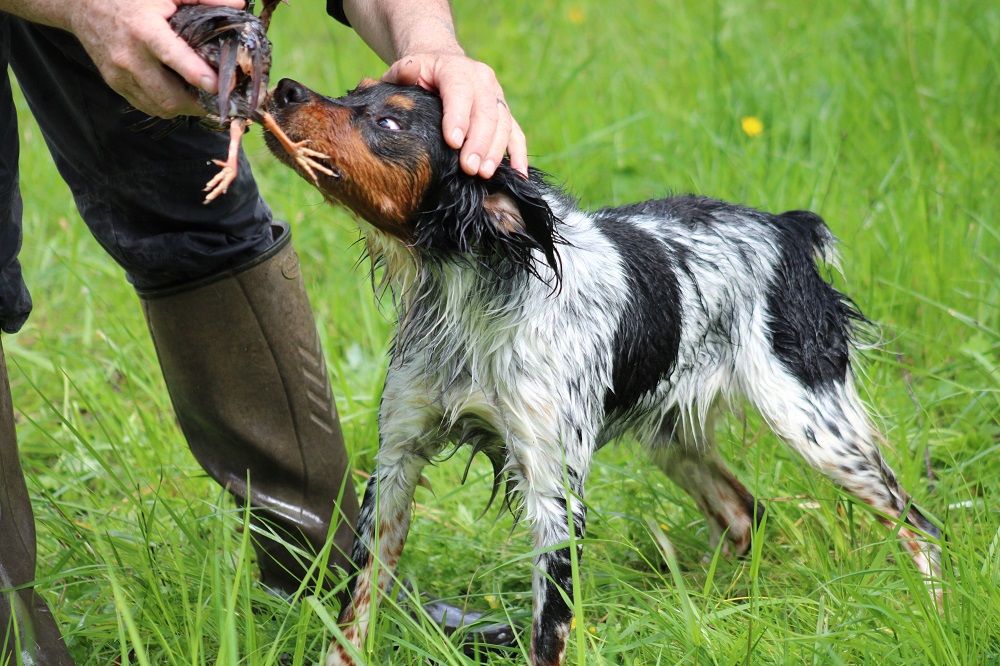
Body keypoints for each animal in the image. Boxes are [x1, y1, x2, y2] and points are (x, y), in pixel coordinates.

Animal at [262, 76, 940, 664]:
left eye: (390, 121)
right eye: (355, 90)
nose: (285, 88)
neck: (471, 300)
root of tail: (784, 228)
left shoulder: (553, 494)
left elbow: (549, 636)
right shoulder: (397, 462)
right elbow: (353, 615)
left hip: (814, 426)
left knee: (920, 525)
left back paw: (931, 609)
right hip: (674, 437)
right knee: (745, 513)